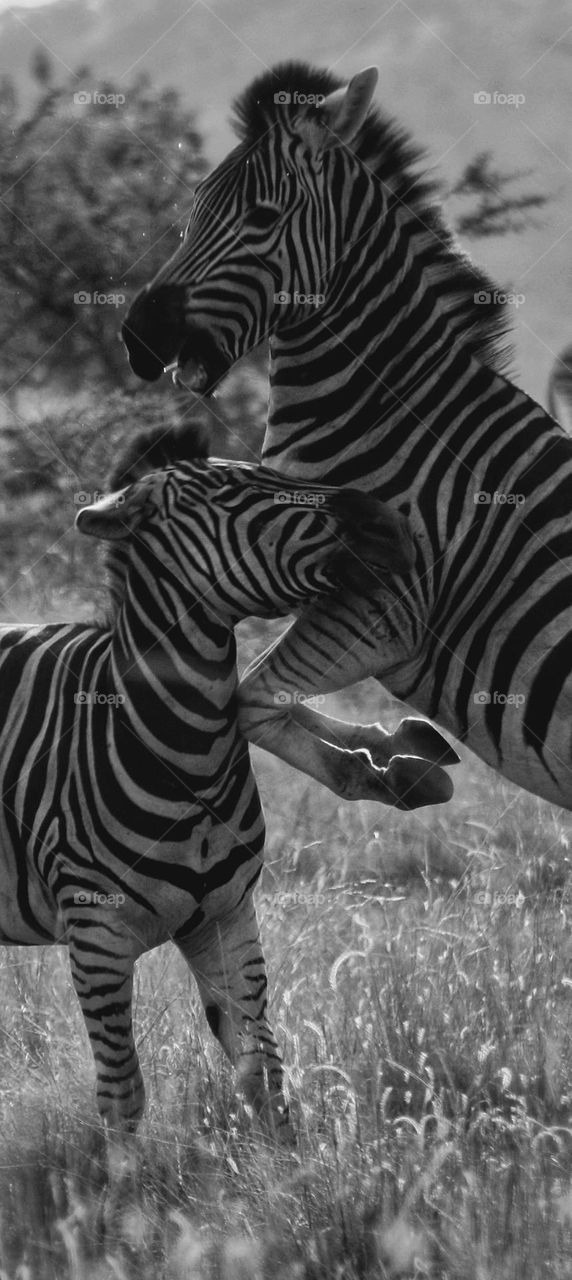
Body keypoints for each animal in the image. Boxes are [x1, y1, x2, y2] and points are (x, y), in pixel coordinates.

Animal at [0, 421, 426, 1148]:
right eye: (232, 492)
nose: (392, 523)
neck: (185, 754)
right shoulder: (96, 936)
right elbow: (123, 1096)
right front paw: (123, 1183)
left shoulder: (227, 918)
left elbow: (264, 1074)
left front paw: (291, 1174)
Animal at [122, 60, 572, 813]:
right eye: (194, 209)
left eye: (262, 217)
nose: (138, 337)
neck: (395, 416)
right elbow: (253, 692)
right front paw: (402, 746)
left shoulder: (384, 609)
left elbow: (250, 700)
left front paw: (390, 770)